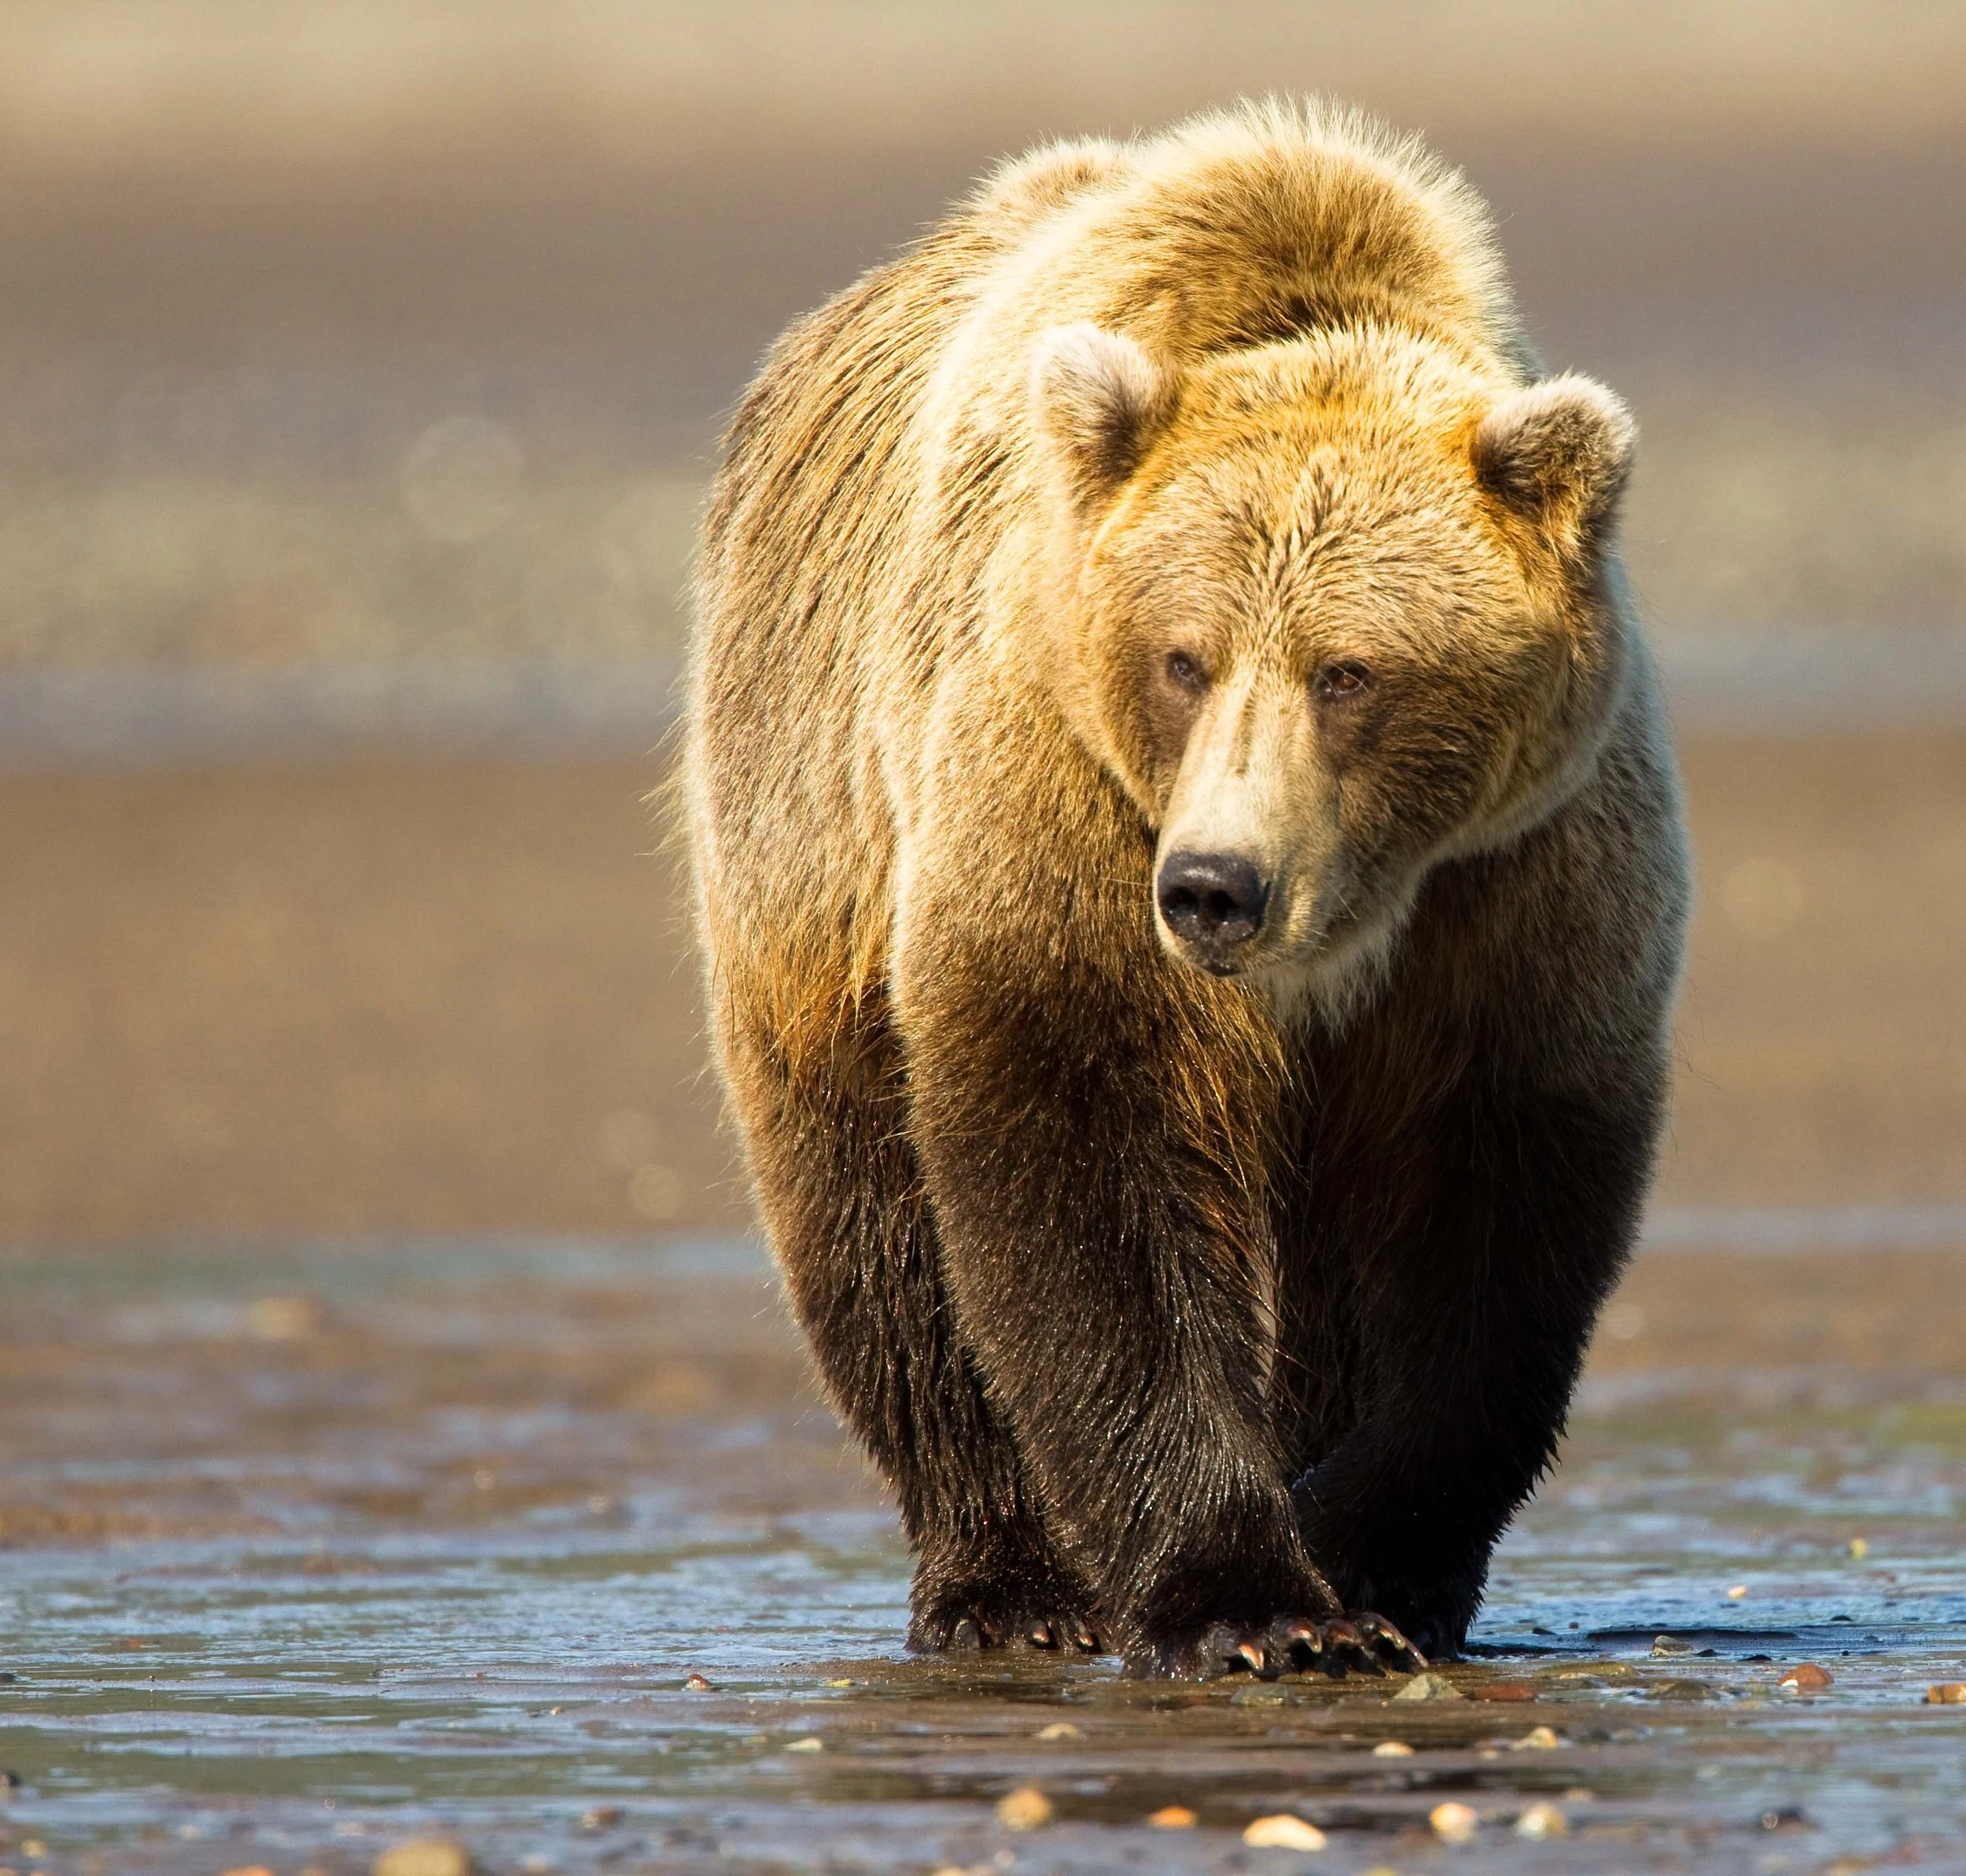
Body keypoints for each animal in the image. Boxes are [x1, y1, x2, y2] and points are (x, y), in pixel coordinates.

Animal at [683, 99, 1689, 1678]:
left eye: (1351, 672)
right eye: (1184, 657)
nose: (1220, 887)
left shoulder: (1522, 883)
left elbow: (1487, 1232)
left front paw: (1369, 1555)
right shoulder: (1069, 793)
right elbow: (1092, 1161)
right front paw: (1252, 1603)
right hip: (809, 822)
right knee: (870, 1225)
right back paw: (1005, 1583)